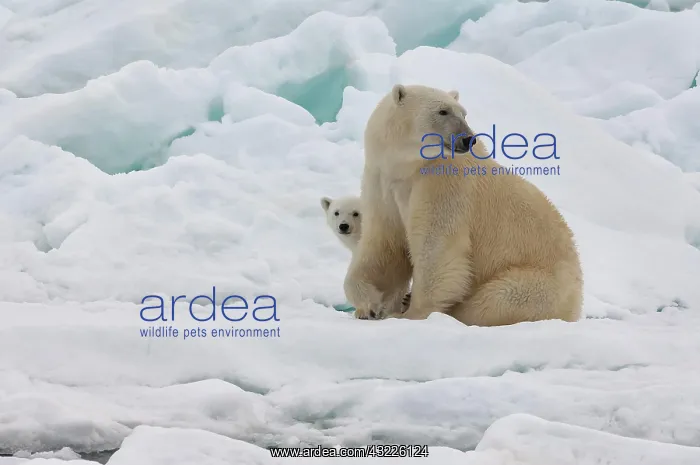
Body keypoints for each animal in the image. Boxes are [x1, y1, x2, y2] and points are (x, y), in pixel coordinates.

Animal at [343, 83, 583, 326]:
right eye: (443, 111)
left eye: (463, 113)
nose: (468, 139)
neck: (407, 166)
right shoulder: (382, 180)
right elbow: (385, 244)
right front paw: (369, 306)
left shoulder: (444, 181)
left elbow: (436, 247)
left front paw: (411, 313)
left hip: (538, 283)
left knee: (495, 299)